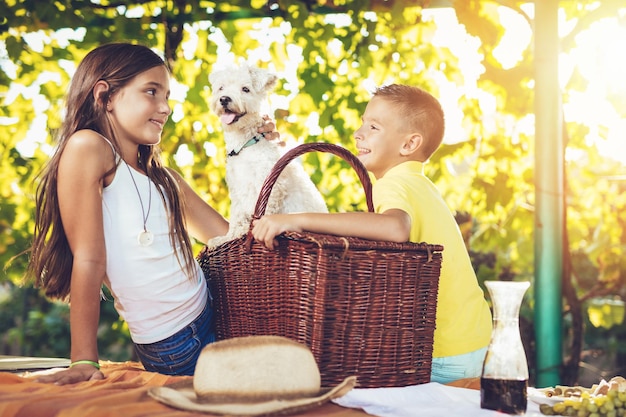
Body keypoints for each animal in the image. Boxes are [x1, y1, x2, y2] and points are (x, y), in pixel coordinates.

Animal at [208, 63, 330, 245]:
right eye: (221, 87)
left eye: (245, 89)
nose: (224, 99)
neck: (246, 144)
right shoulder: (237, 190)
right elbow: (237, 216)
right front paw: (228, 237)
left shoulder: (270, 187)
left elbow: (262, 215)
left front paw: (247, 232)